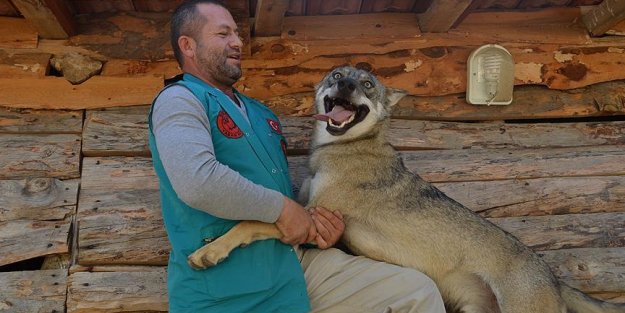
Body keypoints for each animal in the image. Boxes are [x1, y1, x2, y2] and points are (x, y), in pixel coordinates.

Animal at [188, 66, 624, 312]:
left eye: (366, 84)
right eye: (337, 77)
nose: (347, 86)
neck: (340, 148)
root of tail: (553, 278)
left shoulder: (308, 217)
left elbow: (249, 224)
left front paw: (209, 252)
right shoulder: (303, 210)